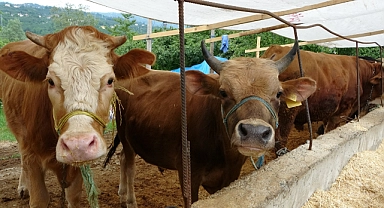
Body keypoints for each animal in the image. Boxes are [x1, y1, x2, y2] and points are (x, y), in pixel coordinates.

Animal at [0, 26, 156, 207]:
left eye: (110, 80)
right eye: (50, 81)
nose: (78, 145)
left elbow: (73, 196)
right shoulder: (32, 156)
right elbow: (39, 198)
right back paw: (23, 186)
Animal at [106, 40, 318, 206]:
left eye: (279, 93)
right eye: (223, 92)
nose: (254, 133)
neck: (223, 152)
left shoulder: (230, 177)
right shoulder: (188, 175)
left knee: (123, 158)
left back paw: (122, 194)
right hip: (125, 135)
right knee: (129, 165)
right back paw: (129, 201)